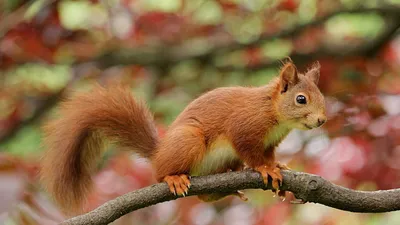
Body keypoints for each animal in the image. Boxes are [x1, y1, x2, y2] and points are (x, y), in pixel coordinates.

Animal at [40, 59, 326, 214]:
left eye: (322, 96)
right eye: (301, 99)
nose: (322, 120)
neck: (272, 111)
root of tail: (158, 153)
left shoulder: (270, 142)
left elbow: (268, 154)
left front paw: (278, 165)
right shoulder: (244, 127)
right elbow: (250, 151)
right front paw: (266, 169)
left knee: (204, 196)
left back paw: (230, 186)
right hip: (188, 141)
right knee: (161, 173)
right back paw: (173, 177)